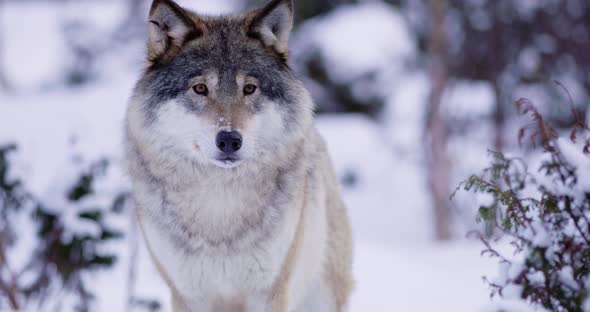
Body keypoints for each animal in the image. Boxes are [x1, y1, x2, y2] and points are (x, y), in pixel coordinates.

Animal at [124, 0, 354, 310]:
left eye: (249, 88)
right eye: (200, 88)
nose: (229, 140)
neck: (219, 207)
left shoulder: (270, 292)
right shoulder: (188, 294)